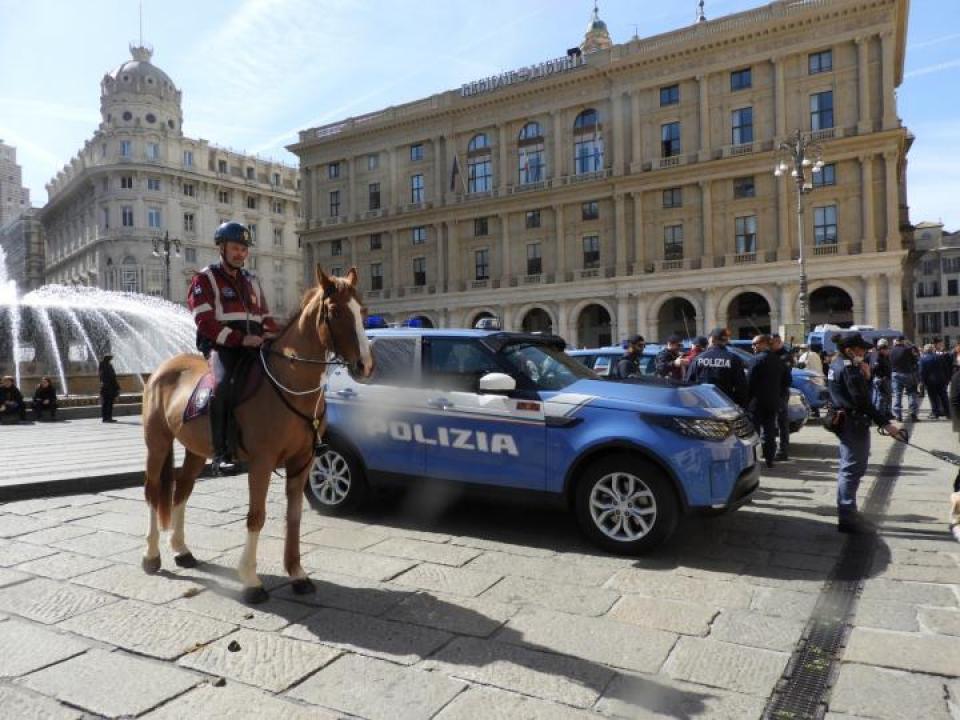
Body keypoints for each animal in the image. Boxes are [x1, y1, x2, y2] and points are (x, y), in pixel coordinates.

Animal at [141, 264, 374, 600]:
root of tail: (163, 367)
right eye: (335, 311)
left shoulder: (302, 462)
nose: (365, 365)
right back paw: (151, 556)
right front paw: (251, 580)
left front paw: (297, 573)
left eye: (362, 310)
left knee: (182, 490)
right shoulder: (261, 463)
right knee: (152, 491)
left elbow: (294, 517)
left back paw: (182, 550)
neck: (290, 383)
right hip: (157, 443)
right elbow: (256, 515)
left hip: (196, 450)